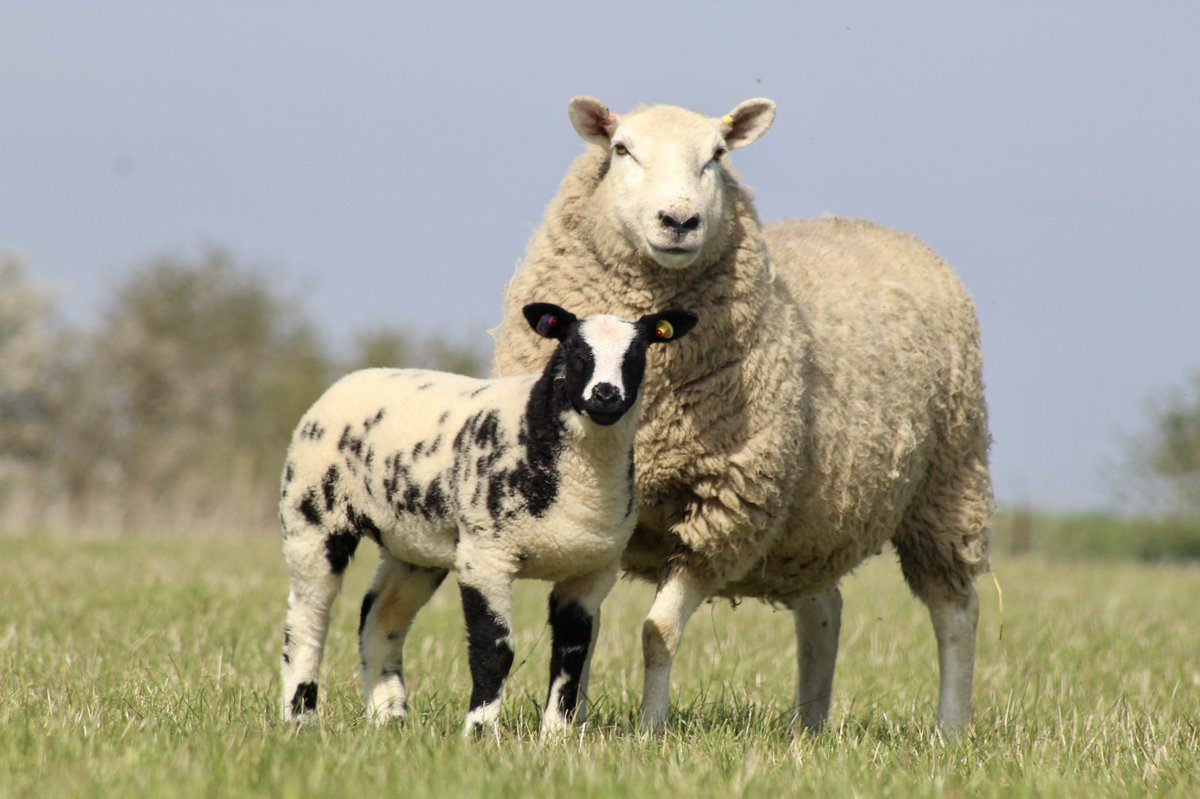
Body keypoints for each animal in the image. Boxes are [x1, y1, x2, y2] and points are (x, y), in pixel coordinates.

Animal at [278, 302, 698, 736]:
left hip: (415, 546)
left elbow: (571, 653)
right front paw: (480, 732)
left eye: (638, 353)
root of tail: (351, 379)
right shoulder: (485, 557)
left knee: (379, 618)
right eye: (574, 350)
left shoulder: (591, 571)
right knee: (308, 620)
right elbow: (494, 650)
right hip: (313, 515)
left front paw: (556, 735)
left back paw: (389, 716)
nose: (605, 394)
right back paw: (300, 715)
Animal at [491, 97, 992, 737]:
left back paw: (948, 730)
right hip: (812, 521)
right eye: (622, 149)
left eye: (717, 155)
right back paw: (809, 727)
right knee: (824, 610)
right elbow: (582, 626)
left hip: (949, 481)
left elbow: (658, 632)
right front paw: (568, 724)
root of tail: (890, 233)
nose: (679, 220)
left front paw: (650, 730)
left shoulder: (721, 509)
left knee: (956, 612)